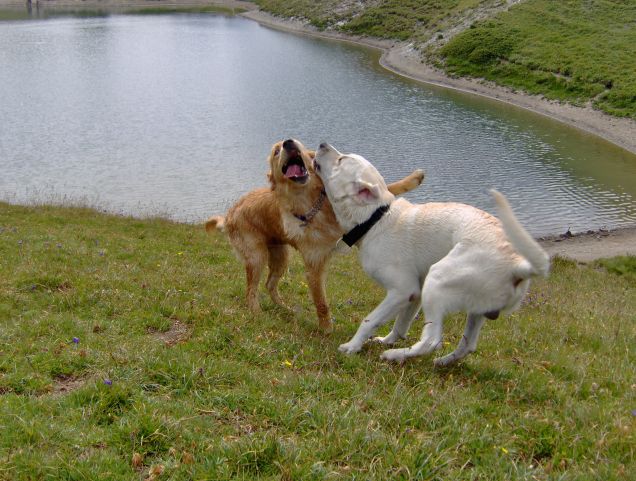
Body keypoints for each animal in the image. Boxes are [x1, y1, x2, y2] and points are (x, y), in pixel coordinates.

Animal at [205, 139, 422, 330]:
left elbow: (388, 188)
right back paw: (257, 313)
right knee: (251, 290)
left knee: (269, 284)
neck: (313, 205)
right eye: (276, 151)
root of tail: (228, 215)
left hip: (280, 256)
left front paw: (414, 178)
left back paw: (285, 308)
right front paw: (326, 330)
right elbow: (321, 303)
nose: (288, 143)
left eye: (295, 142)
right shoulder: (314, 265)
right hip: (256, 256)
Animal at [316, 142, 548, 364]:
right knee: (467, 345)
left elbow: (369, 320)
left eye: (341, 160)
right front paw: (386, 340)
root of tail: (518, 264)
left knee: (431, 340)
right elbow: (401, 324)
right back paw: (442, 362)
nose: (322, 144)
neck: (376, 218)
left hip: (437, 282)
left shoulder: (402, 290)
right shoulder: (415, 294)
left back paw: (395, 356)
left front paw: (353, 347)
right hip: (473, 309)